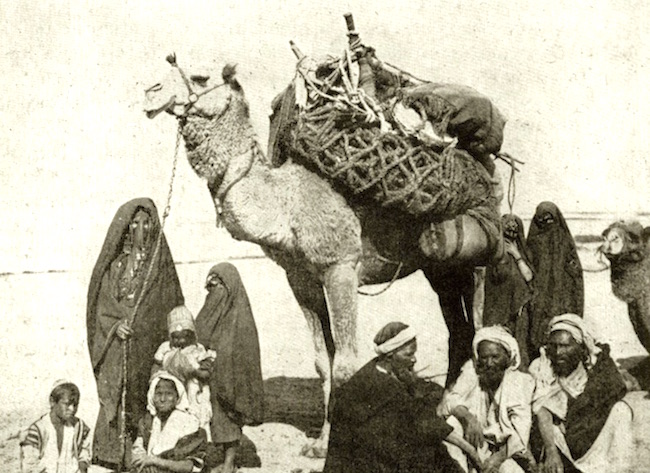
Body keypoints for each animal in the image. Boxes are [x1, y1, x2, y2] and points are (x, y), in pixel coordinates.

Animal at [144, 59, 502, 454]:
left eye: (200, 77)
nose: (151, 91)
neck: (287, 204)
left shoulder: (340, 266)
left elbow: (345, 363)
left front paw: (337, 443)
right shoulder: (300, 279)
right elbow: (322, 362)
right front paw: (319, 442)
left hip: (471, 258)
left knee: (477, 325)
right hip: (439, 269)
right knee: (459, 329)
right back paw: (442, 408)